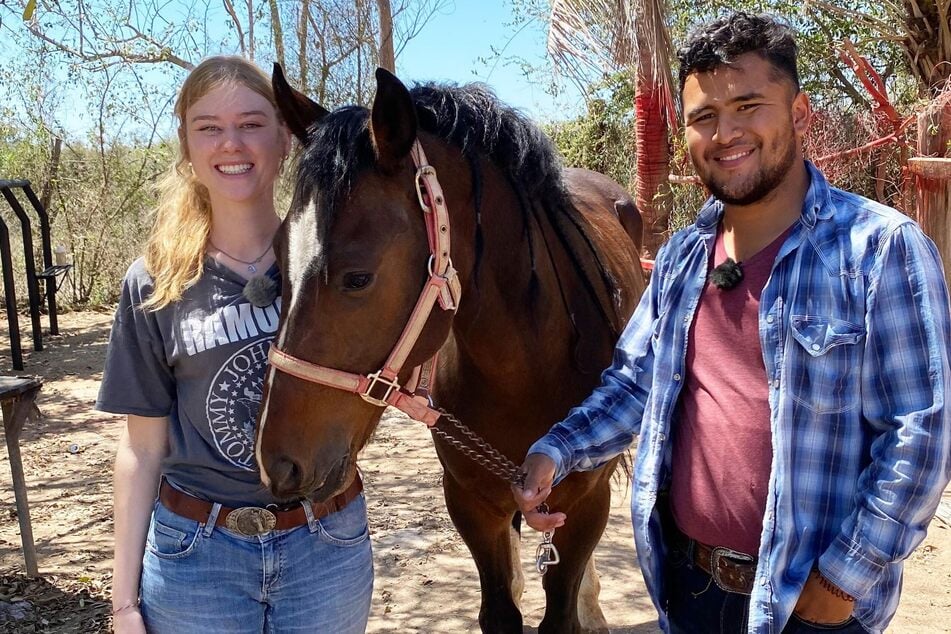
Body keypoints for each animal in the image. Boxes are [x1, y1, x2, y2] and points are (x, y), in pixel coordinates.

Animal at [255, 66, 648, 628]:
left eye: (358, 277)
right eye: (278, 260)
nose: (277, 464)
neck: (526, 370)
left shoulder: (585, 504)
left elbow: (561, 610)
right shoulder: (471, 503)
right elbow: (500, 609)